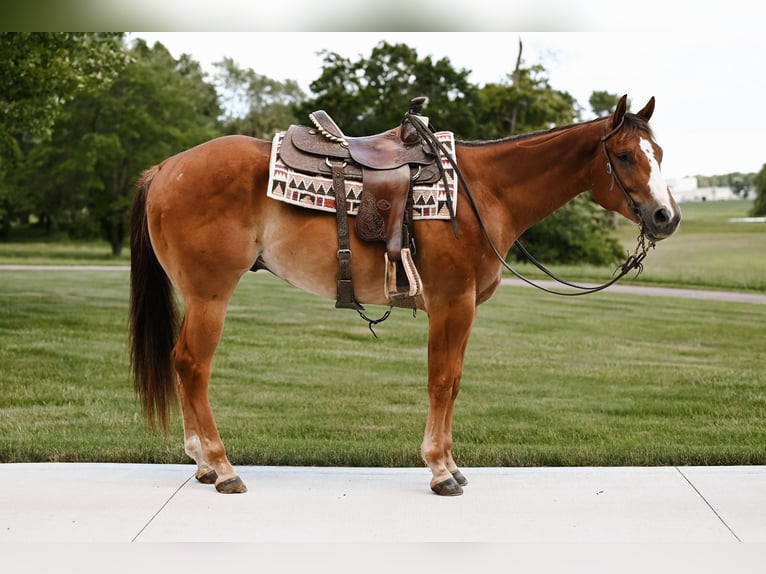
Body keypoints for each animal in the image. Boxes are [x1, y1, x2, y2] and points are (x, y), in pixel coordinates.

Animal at [127, 93, 684, 496]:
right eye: (624, 155)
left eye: (658, 154)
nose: (666, 217)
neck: (484, 192)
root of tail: (165, 168)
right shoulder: (452, 304)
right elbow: (442, 382)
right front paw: (440, 471)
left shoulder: (462, 308)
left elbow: (452, 383)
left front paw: (451, 465)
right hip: (210, 295)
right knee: (193, 365)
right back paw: (222, 468)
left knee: (182, 364)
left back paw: (202, 463)